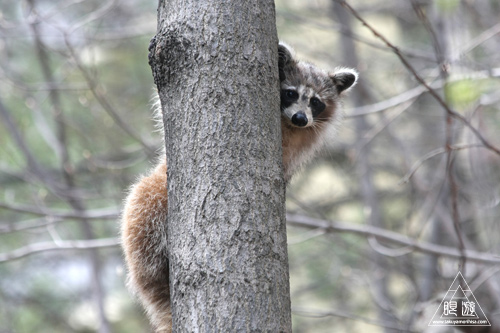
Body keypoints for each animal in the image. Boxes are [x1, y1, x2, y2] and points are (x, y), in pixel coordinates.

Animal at [119, 42, 358, 332]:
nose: (301, 117)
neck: (288, 125)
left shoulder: (302, 143)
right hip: (145, 210)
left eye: (316, 102)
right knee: (145, 206)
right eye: (291, 93)